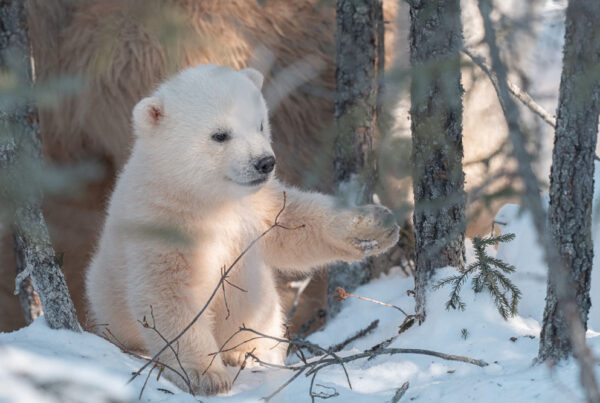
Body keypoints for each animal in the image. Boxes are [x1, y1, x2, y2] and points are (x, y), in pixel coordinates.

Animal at [86, 64, 398, 396]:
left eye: (260, 124)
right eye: (220, 135)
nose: (264, 162)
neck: (209, 201)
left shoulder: (254, 207)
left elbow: (294, 225)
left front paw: (375, 226)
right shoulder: (161, 223)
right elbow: (168, 295)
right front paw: (206, 375)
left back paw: (246, 354)